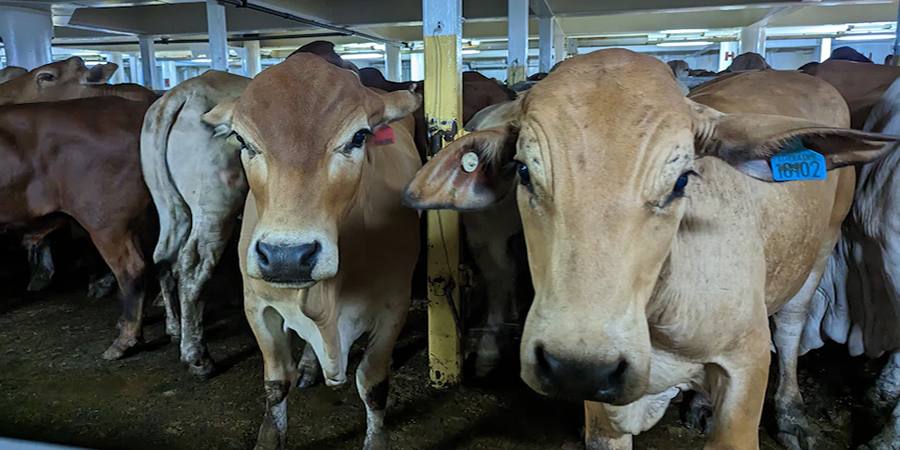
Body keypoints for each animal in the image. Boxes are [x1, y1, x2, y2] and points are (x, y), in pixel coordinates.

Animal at [140, 70, 250, 378]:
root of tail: (183, 93)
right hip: (215, 207)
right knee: (194, 263)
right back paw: (197, 356)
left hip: (169, 204)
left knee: (163, 256)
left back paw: (175, 327)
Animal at [200, 53, 421, 450]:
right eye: (242, 139)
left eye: (359, 136)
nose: (286, 257)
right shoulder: (257, 305)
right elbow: (276, 382)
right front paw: (269, 435)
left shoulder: (394, 305)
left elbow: (373, 384)